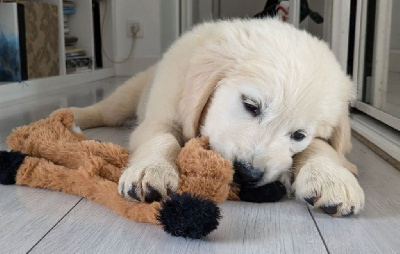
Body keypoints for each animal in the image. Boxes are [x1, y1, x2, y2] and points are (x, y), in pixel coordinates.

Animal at [69, 18, 366, 216]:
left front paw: (331, 177)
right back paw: (74, 115)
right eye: (251, 105)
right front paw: (152, 169)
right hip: (129, 95)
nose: (247, 173)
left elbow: (322, 147)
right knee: (105, 110)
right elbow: (163, 138)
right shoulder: (160, 116)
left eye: (299, 135)